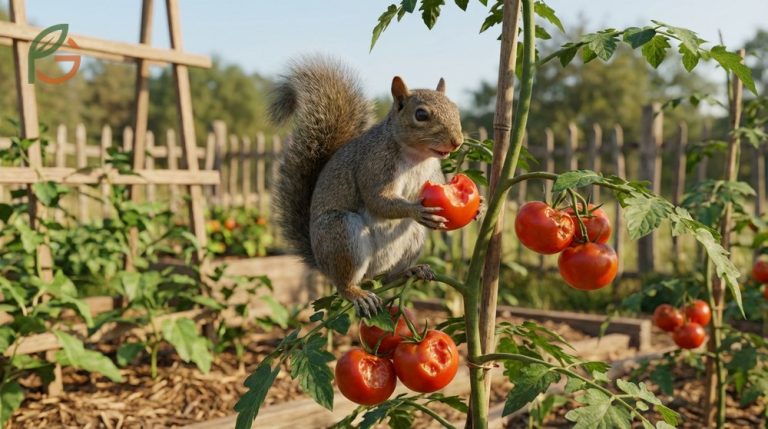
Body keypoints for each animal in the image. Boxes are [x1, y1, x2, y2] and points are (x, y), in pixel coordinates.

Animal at [270, 56, 464, 316]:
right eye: (421, 114)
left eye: (455, 108)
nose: (457, 142)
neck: (417, 157)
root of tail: (321, 262)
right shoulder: (374, 166)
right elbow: (377, 199)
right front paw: (415, 210)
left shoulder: (434, 174)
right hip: (341, 234)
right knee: (344, 283)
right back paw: (357, 294)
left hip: (411, 239)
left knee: (390, 277)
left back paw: (410, 271)